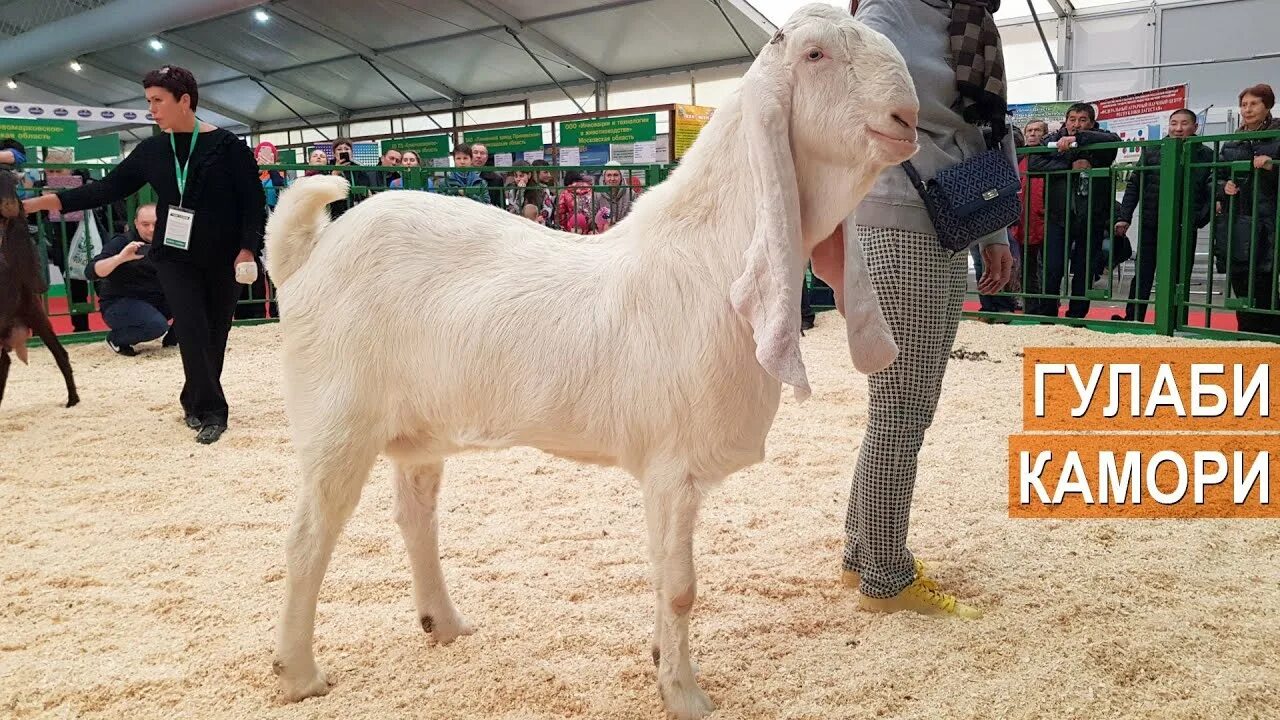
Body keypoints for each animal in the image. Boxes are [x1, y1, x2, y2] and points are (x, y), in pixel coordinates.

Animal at [264, 4, 916, 712]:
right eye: (815, 55)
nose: (907, 117)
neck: (707, 258)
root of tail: (305, 257)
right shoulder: (672, 467)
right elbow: (681, 587)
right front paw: (684, 695)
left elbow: (663, 579)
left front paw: (662, 660)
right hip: (337, 422)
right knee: (306, 541)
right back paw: (298, 673)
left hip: (419, 429)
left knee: (415, 518)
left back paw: (445, 622)